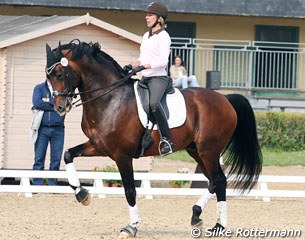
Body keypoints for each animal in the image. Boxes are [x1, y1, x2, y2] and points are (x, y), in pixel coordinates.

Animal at [45, 39, 262, 238]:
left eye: (59, 74)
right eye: (48, 77)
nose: (60, 107)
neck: (110, 99)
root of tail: (225, 99)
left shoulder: (122, 155)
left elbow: (130, 190)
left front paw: (131, 226)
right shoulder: (99, 147)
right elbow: (68, 154)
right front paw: (82, 194)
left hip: (208, 150)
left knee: (218, 180)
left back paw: (215, 224)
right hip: (196, 151)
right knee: (216, 182)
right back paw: (202, 218)